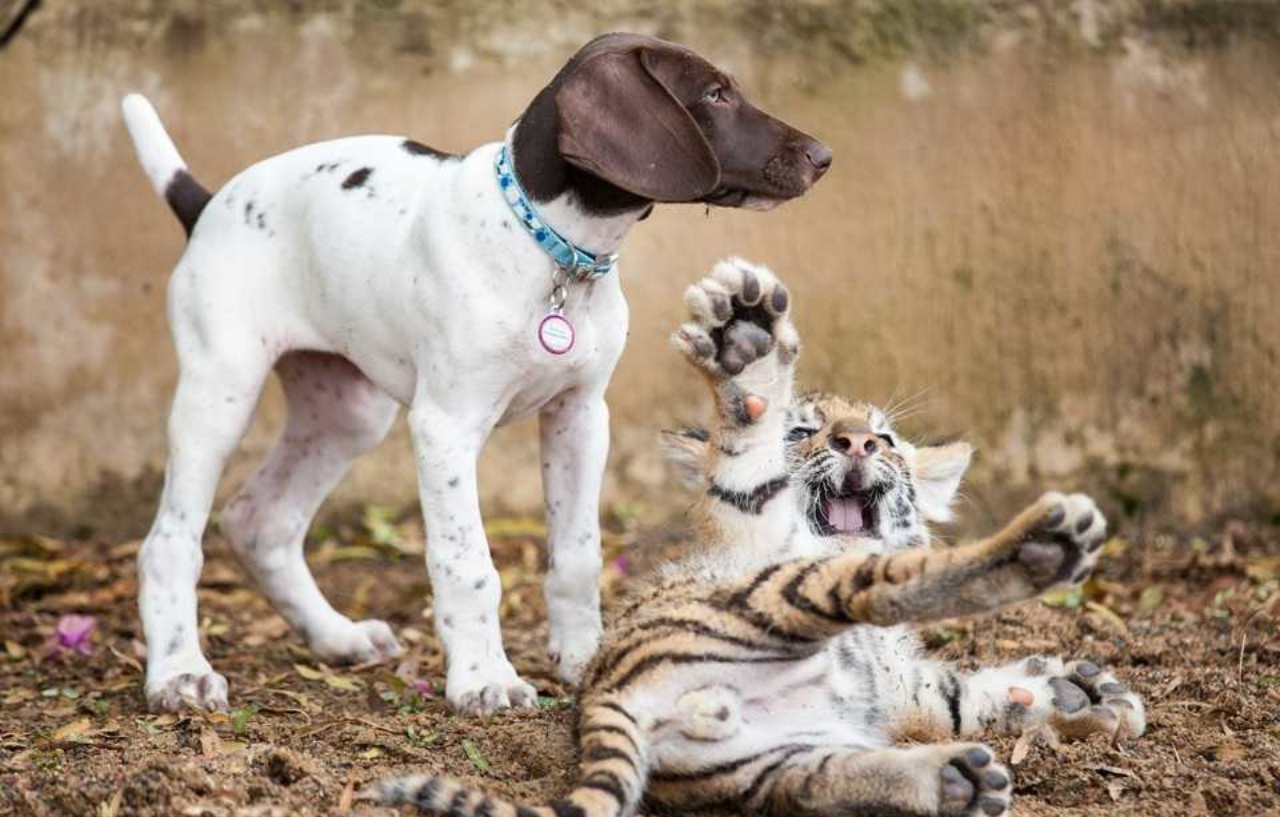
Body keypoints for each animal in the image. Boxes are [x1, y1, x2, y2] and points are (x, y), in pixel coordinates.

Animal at [120, 32, 829, 711]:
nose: (822, 155)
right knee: (170, 541)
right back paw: (179, 673)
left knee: (260, 521)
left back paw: (335, 636)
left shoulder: (580, 415)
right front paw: (484, 678)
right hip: (220, 394)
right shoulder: (446, 427)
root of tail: (209, 204)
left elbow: (578, 553)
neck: (550, 248)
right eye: (714, 95)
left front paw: (583, 659)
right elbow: (469, 564)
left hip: (346, 413)